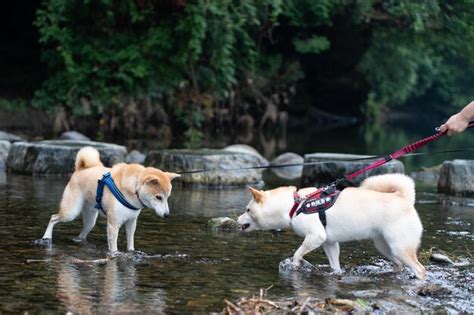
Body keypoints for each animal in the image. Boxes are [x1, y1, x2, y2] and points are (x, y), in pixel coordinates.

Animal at [38, 147, 180, 253]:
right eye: (158, 197)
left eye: (167, 197)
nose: (167, 215)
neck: (134, 188)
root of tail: (81, 169)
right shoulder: (113, 224)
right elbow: (114, 248)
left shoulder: (131, 223)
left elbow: (130, 244)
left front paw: (131, 252)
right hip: (71, 212)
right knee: (53, 217)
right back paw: (46, 237)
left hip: (90, 220)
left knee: (83, 233)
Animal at [237, 174, 426, 280]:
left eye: (248, 210)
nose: (237, 219)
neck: (295, 205)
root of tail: (404, 198)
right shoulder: (329, 243)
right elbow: (335, 265)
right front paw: (336, 274)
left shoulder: (316, 236)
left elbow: (298, 253)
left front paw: (295, 265)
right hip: (384, 246)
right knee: (399, 264)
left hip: (400, 247)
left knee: (420, 269)